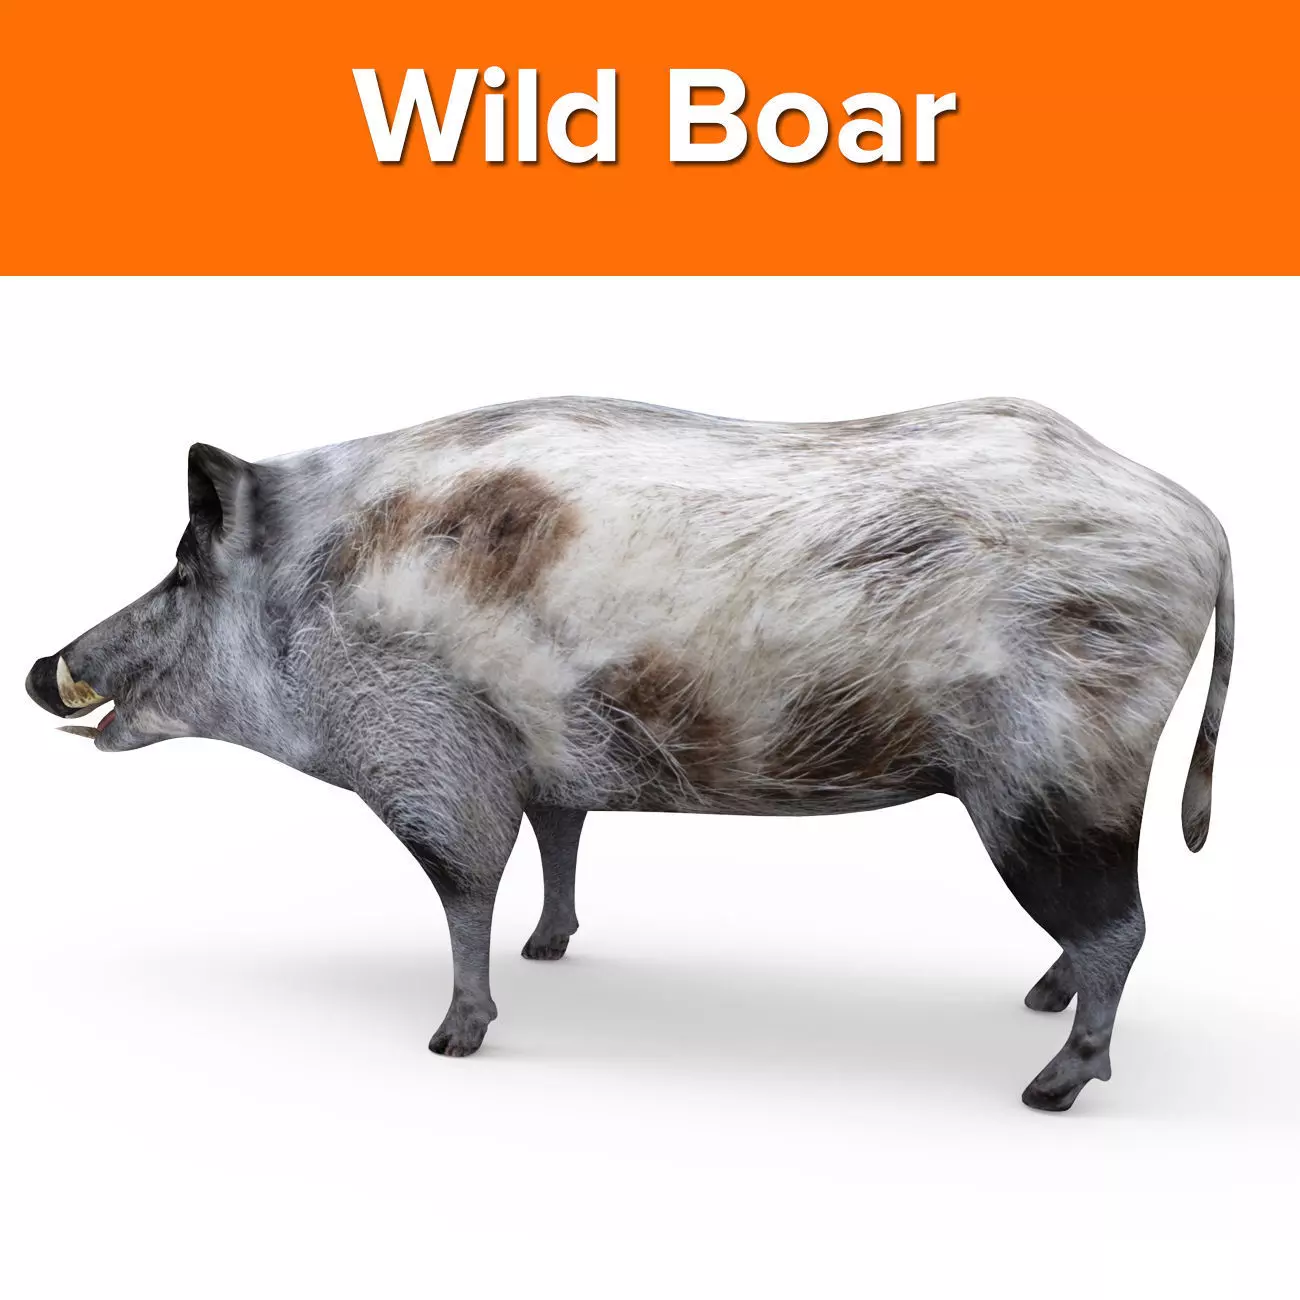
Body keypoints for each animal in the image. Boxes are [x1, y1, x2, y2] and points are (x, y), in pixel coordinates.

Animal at [25, 396, 1233, 1110]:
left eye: (183, 569)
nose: (42, 666)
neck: (317, 597)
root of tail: (1206, 524)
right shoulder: (544, 758)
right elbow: (558, 842)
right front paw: (548, 949)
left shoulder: (434, 761)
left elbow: (464, 889)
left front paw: (451, 1043)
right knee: (1100, 929)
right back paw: (1039, 1003)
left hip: (1058, 775)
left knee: (1122, 925)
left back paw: (1049, 1084)